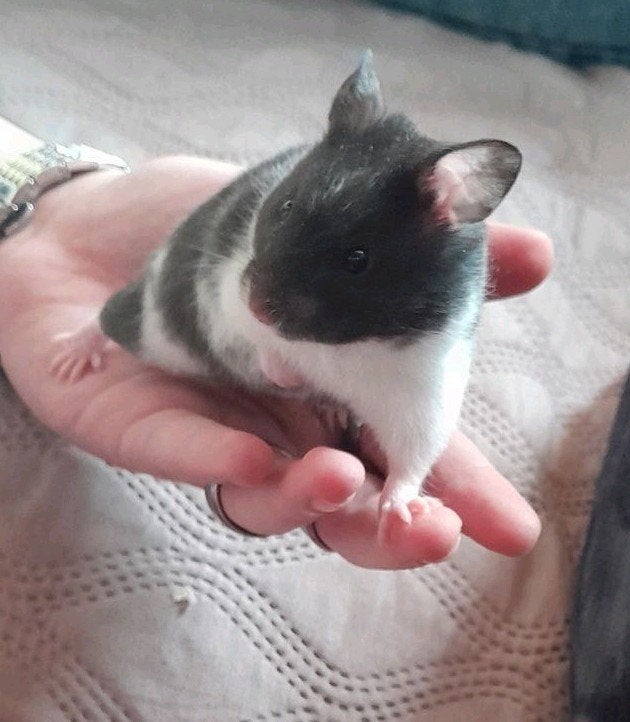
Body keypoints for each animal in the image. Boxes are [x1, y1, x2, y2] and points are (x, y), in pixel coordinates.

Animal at [50, 51, 522, 540]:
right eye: (286, 207)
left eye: (358, 259)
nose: (259, 307)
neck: (345, 342)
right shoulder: (231, 290)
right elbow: (261, 346)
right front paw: (289, 376)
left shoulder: (426, 387)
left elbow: (412, 459)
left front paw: (402, 515)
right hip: (151, 326)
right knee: (107, 317)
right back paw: (69, 358)